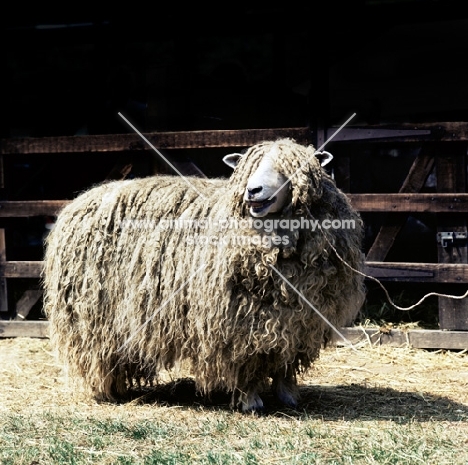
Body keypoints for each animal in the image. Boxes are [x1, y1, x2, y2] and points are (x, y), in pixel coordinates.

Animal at [43, 137, 366, 410]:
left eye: (291, 168)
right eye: (249, 166)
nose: (253, 191)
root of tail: (80, 200)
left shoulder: (299, 319)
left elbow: (285, 361)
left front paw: (288, 396)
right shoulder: (237, 320)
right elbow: (245, 360)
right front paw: (250, 401)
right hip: (91, 314)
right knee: (97, 351)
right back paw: (108, 391)